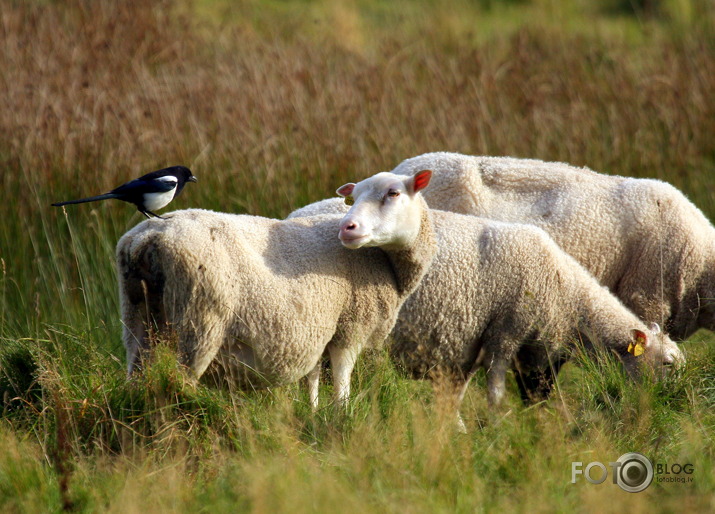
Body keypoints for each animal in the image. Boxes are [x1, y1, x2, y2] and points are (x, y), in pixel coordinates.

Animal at [116, 170, 436, 406]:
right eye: (352, 198)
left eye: (393, 193)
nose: (347, 228)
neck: (388, 264)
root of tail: (148, 238)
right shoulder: (351, 327)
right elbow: (342, 381)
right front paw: (341, 415)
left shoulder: (318, 330)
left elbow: (312, 379)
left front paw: (312, 412)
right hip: (198, 316)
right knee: (182, 380)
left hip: (137, 312)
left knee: (136, 372)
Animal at [296, 172, 684, 420]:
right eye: (667, 364)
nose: (670, 404)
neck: (567, 289)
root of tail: (298, 211)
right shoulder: (507, 331)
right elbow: (497, 396)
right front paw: (499, 431)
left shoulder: (490, 346)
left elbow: (467, 397)